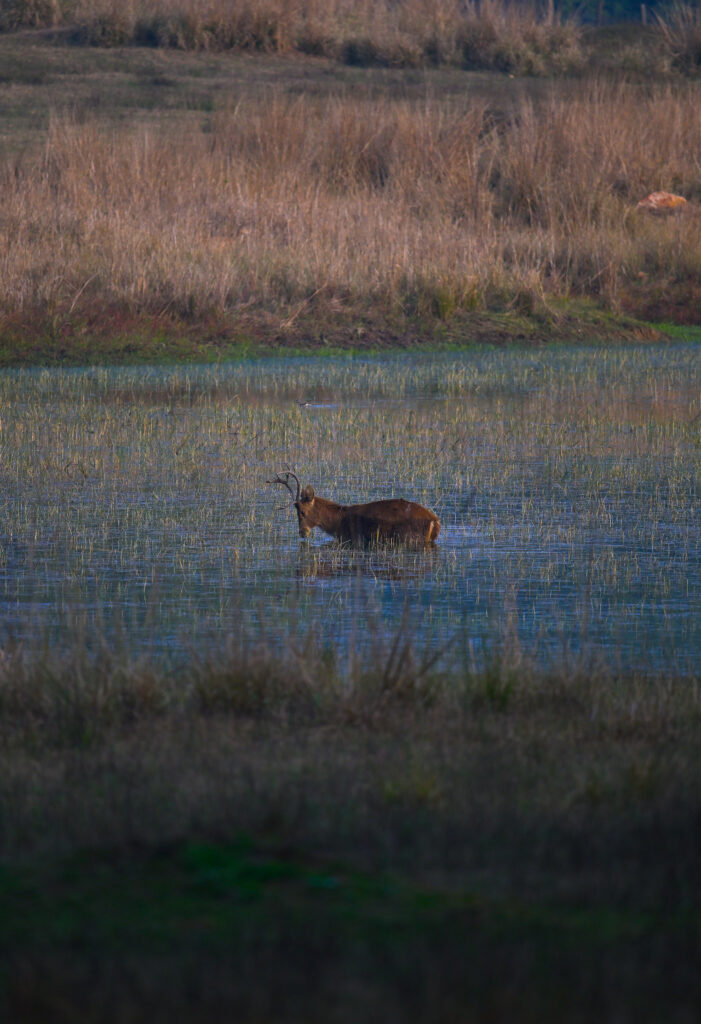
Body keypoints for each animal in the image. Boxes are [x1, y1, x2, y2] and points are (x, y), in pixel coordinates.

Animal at [270, 471, 440, 548]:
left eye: (302, 512)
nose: (302, 532)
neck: (337, 521)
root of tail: (435, 521)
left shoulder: (352, 538)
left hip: (410, 537)